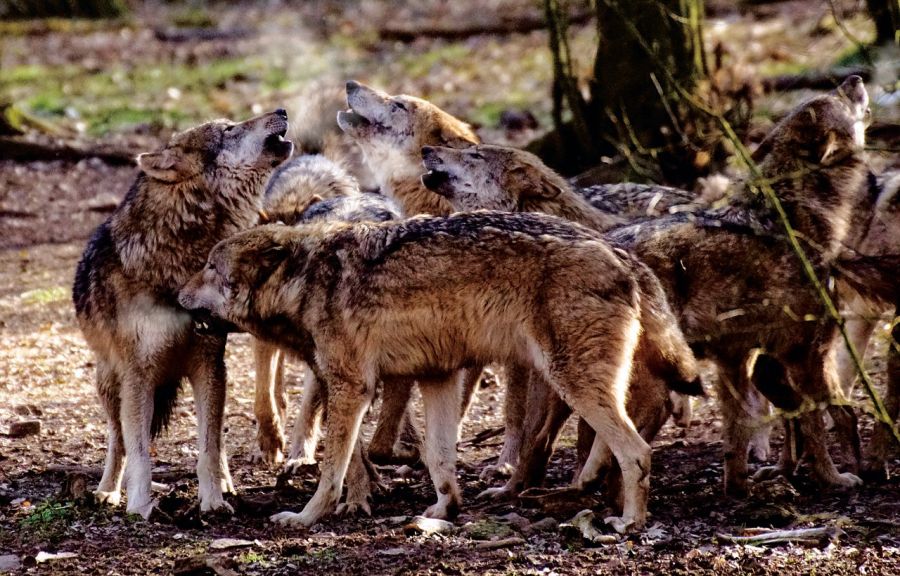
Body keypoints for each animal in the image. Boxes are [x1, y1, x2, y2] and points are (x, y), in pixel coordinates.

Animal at [73, 109, 294, 516]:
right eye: (229, 129)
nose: (282, 111)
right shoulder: (138, 375)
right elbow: (139, 452)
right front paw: (139, 506)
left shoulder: (209, 363)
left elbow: (209, 448)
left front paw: (214, 502)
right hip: (110, 383)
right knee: (117, 440)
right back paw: (107, 490)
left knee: (218, 443)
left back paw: (227, 485)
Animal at [179, 212, 704, 536]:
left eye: (209, 267)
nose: (178, 297)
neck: (307, 279)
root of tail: (619, 251)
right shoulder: (439, 377)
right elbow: (438, 457)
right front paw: (443, 509)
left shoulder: (352, 386)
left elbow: (332, 469)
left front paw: (307, 518)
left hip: (571, 381)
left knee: (637, 450)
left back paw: (629, 522)